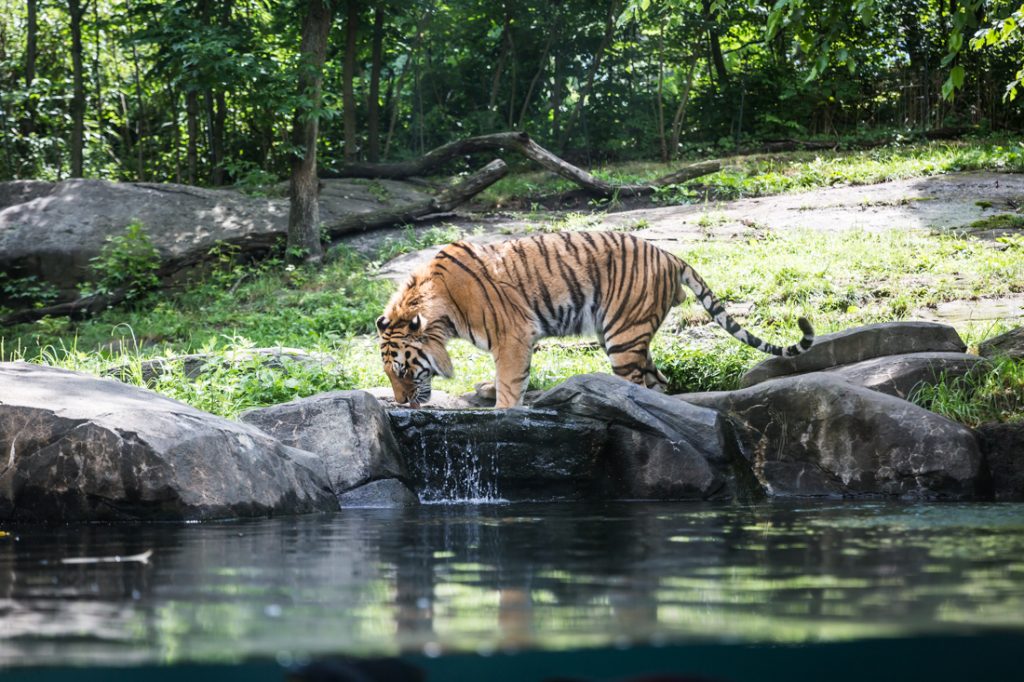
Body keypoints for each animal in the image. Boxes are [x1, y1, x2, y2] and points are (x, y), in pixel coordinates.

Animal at [376, 228, 815, 409]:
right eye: (390, 375)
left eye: (404, 370)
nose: (399, 403)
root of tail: (671, 255)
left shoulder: (513, 336)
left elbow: (511, 385)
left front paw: (500, 411)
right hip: (627, 335)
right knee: (659, 382)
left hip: (622, 335)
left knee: (638, 386)